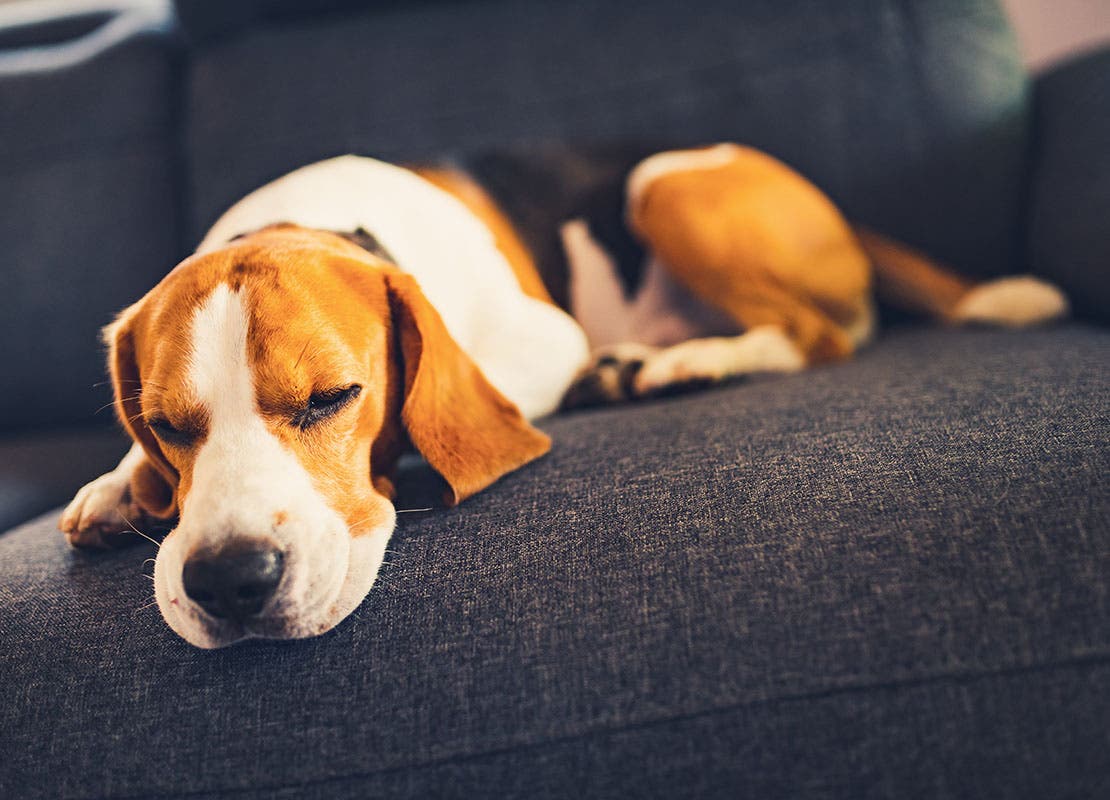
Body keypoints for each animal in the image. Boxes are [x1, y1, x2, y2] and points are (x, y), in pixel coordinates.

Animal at [58, 142, 1065, 647]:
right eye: (164, 425)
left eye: (333, 398)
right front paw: (119, 489)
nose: (229, 581)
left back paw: (679, 364)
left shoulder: (542, 339)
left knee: (821, 335)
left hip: (662, 189)